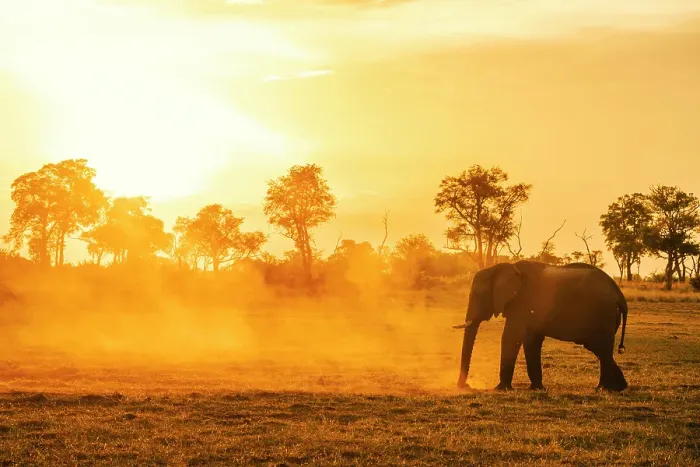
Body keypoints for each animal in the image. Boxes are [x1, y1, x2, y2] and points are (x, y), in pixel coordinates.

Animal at [453, 260, 628, 392]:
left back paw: (603, 389)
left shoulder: (523, 302)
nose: (465, 385)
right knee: (598, 348)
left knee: (602, 348)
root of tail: (619, 295)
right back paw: (618, 387)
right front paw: (536, 389)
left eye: (479, 295)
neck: (502, 267)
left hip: (603, 313)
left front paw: (500, 389)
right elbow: (531, 341)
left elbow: (511, 337)